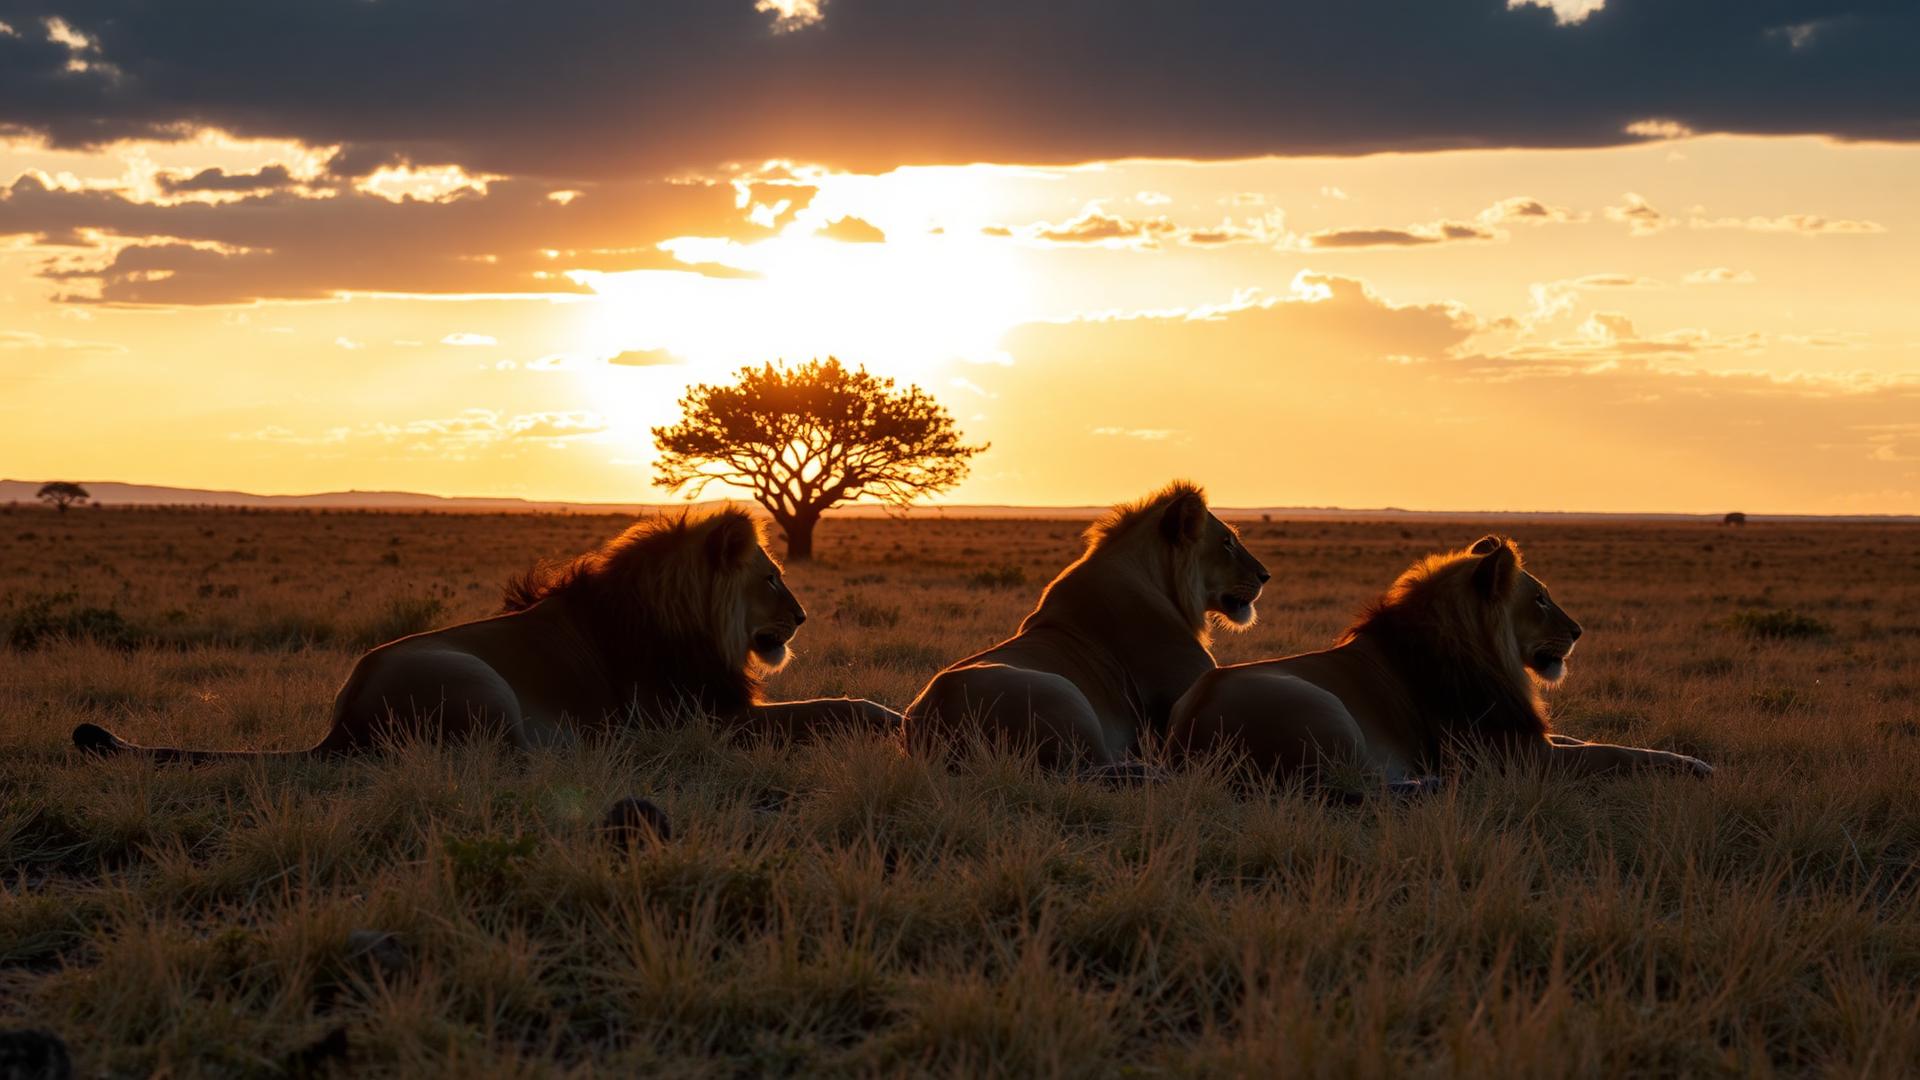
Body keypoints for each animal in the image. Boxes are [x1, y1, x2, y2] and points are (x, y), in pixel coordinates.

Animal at [72, 508, 900, 762]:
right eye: (772, 579)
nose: (803, 619)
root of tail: (343, 721)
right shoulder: (706, 718)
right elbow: (833, 706)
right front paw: (890, 718)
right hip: (481, 681)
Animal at [1170, 535, 1713, 786]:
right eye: (1540, 599)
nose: (1578, 630)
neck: (1487, 656)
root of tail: (1186, 732)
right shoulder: (1518, 758)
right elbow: (1614, 753)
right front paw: (1695, 767)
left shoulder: (1523, 733)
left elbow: (1594, 739)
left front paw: (1690, 758)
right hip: (1326, 708)